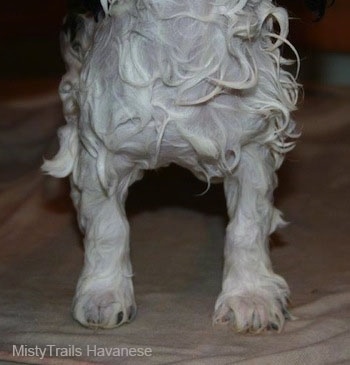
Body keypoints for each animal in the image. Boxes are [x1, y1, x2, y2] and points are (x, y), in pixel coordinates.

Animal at [42, 0, 330, 332]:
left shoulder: (250, 143)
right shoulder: (103, 143)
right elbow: (107, 226)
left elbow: (247, 225)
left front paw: (250, 296)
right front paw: (103, 293)